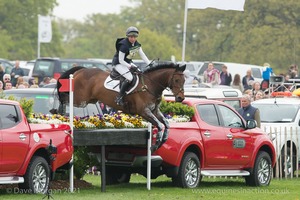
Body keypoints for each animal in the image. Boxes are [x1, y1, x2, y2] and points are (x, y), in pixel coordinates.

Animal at [56, 61, 185, 151]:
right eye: (176, 80)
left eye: (184, 80)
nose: (181, 98)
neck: (150, 85)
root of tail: (82, 70)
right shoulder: (144, 111)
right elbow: (159, 125)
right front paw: (155, 145)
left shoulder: (154, 111)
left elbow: (166, 124)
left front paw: (163, 141)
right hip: (81, 100)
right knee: (65, 98)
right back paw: (59, 112)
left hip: (90, 100)